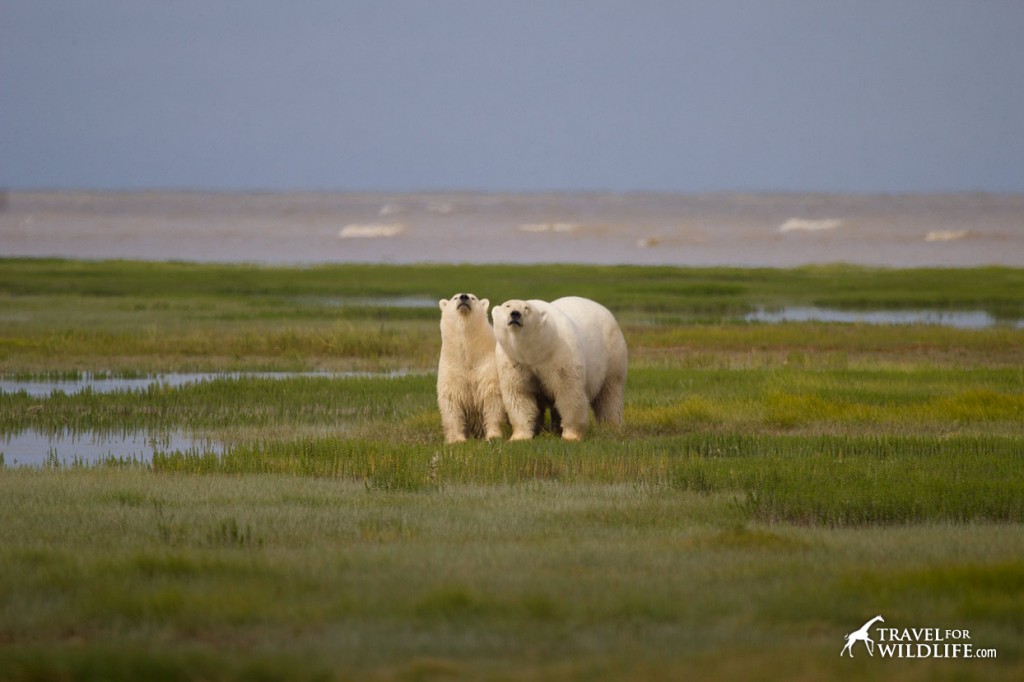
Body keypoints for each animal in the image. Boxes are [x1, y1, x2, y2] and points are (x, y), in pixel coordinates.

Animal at [438, 290, 505, 440]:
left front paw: (493, 435)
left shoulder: (487, 366)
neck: (468, 357)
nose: (464, 297)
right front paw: (457, 439)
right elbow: (451, 399)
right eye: (455, 297)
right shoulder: (451, 368)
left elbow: (492, 397)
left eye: (473, 298)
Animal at [493, 294, 626, 438]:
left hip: (612, 355)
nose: (515, 314)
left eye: (526, 308)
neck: (536, 351)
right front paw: (520, 436)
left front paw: (571, 435)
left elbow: (568, 392)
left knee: (609, 395)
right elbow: (519, 394)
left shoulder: (561, 354)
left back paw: (611, 427)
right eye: (507, 305)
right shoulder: (513, 361)